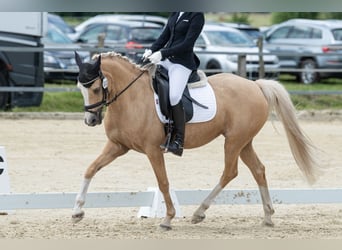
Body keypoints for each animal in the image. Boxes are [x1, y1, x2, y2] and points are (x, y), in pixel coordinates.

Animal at [71, 51, 318, 229]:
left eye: (95, 88)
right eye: (79, 87)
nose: (91, 120)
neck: (131, 98)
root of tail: (255, 85)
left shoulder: (153, 150)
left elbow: (163, 182)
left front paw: (168, 218)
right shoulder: (118, 146)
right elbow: (90, 169)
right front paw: (77, 211)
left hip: (234, 141)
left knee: (230, 172)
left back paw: (199, 212)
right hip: (244, 142)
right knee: (258, 170)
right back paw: (267, 216)